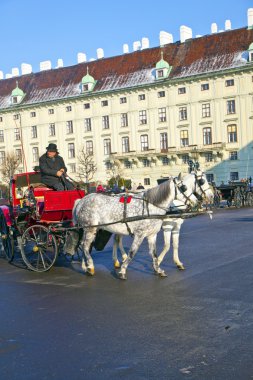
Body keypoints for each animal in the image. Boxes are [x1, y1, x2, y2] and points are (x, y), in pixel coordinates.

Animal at [73, 169, 213, 280]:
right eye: (184, 187)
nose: (210, 196)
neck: (152, 206)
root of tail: (81, 200)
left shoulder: (155, 234)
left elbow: (157, 251)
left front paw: (159, 268)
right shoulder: (142, 234)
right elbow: (134, 252)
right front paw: (123, 271)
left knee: (94, 244)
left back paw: (90, 265)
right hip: (90, 229)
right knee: (85, 246)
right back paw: (91, 266)